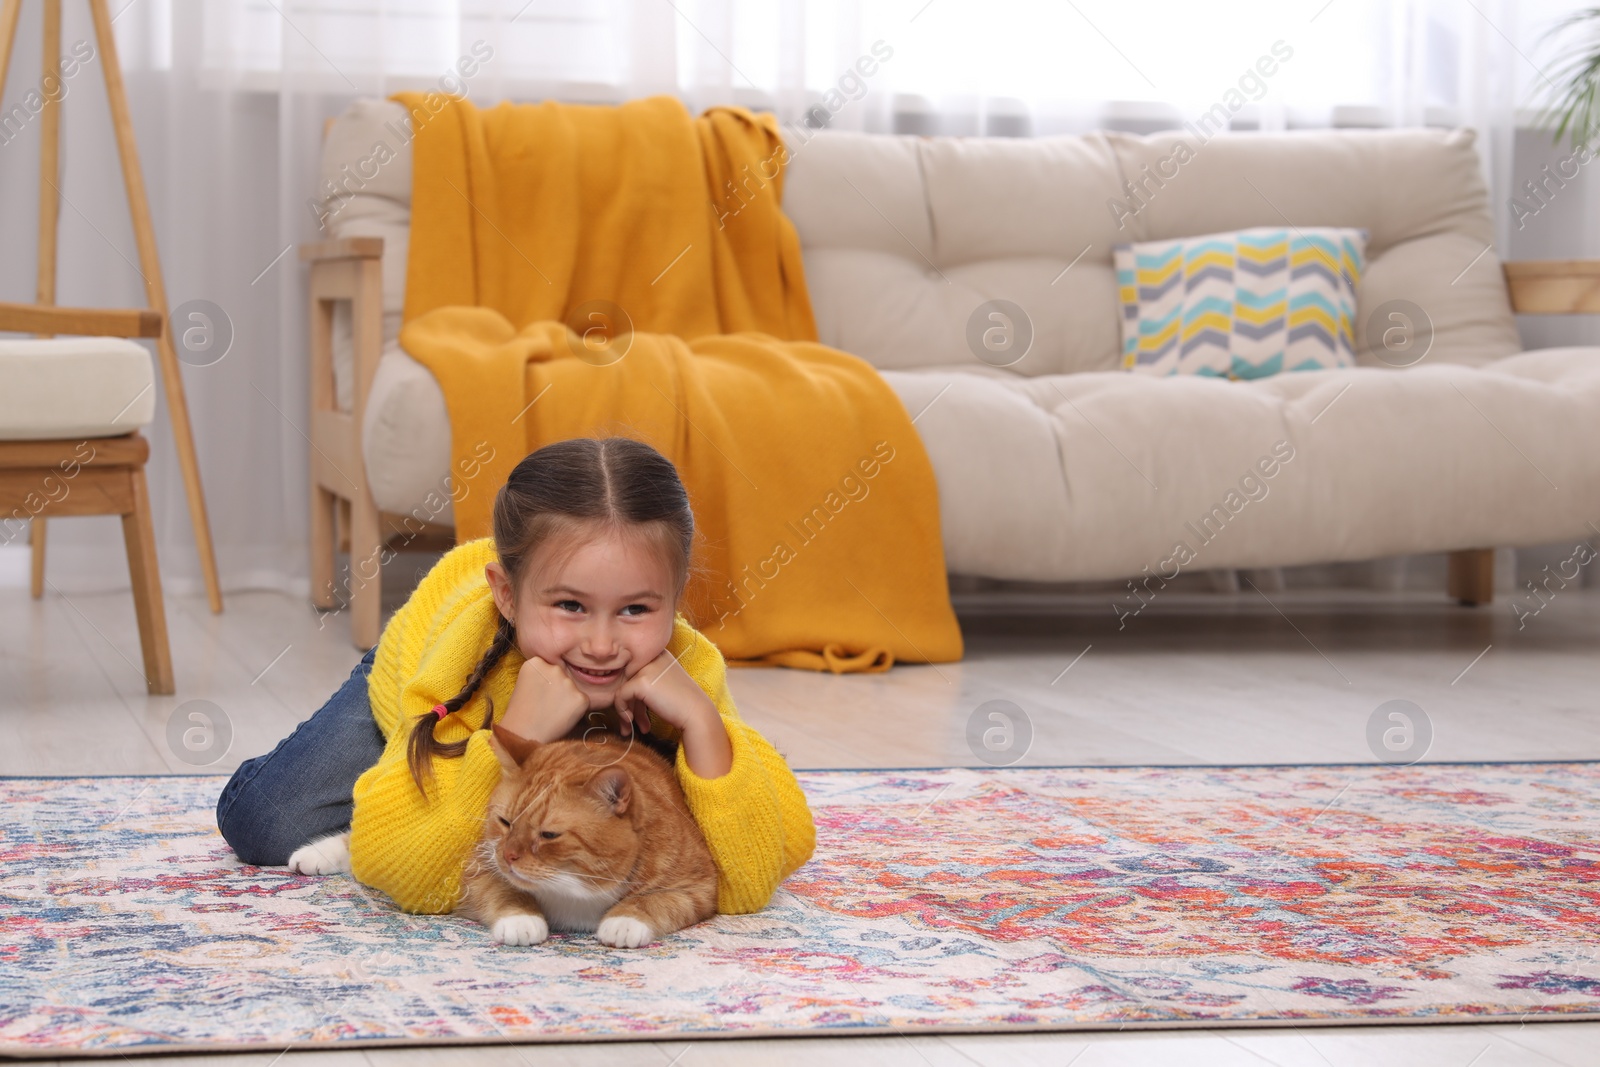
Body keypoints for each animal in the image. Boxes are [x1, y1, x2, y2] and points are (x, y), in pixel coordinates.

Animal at [457, 723, 720, 947]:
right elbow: (503, 891)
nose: (507, 855)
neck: (573, 887)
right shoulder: (479, 868)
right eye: (505, 822)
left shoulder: (698, 887)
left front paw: (624, 922)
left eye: (549, 835)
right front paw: (521, 919)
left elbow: (652, 901)